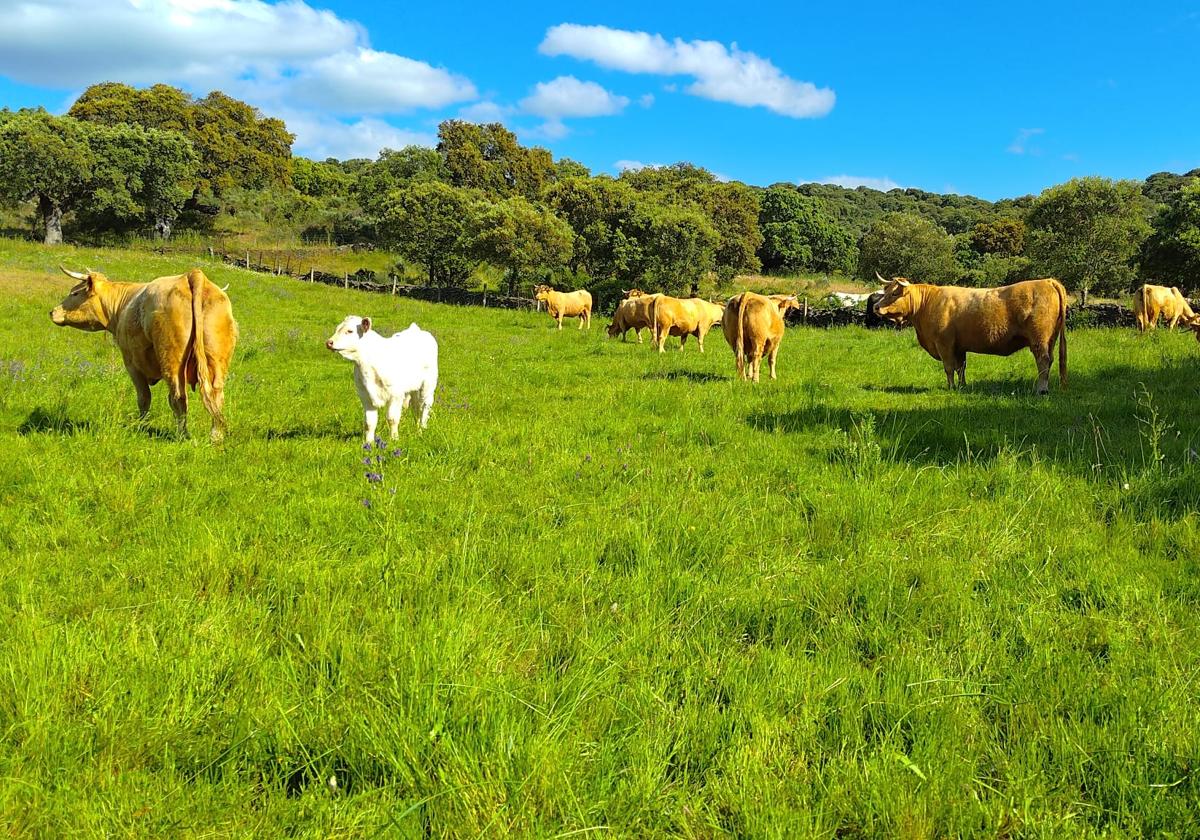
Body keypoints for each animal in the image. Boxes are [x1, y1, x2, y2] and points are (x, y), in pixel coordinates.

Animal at [50, 265, 237, 444]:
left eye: (75, 293)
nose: (52, 312)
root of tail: (192, 275)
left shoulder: (132, 364)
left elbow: (144, 398)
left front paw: (140, 426)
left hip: (172, 362)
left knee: (178, 397)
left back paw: (182, 435)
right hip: (216, 360)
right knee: (216, 396)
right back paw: (216, 436)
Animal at [326, 314, 439, 444]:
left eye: (350, 331)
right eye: (337, 328)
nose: (329, 342)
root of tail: (416, 330)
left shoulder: (395, 395)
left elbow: (392, 419)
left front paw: (394, 439)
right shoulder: (365, 396)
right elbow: (369, 423)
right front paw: (369, 443)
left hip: (427, 386)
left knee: (424, 408)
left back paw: (422, 430)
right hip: (414, 389)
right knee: (416, 409)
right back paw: (417, 430)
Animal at [873, 273, 1070, 396]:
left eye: (894, 293)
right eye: (885, 291)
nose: (875, 307)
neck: (927, 304)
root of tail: (1047, 281)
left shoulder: (944, 344)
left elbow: (949, 367)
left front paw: (951, 387)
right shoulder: (959, 347)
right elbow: (961, 367)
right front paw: (962, 386)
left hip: (1039, 339)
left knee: (1043, 361)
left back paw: (1041, 389)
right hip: (1050, 340)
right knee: (1049, 361)